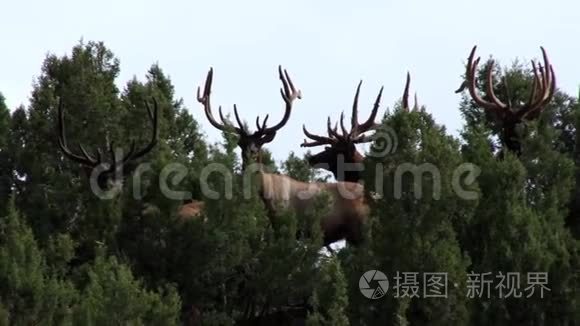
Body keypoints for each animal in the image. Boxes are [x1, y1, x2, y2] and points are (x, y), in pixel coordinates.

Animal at [195, 65, 368, 246]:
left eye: (260, 143)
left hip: (359, 230)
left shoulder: (287, 224)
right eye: (241, 143)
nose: (251, 153)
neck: (266, 196)